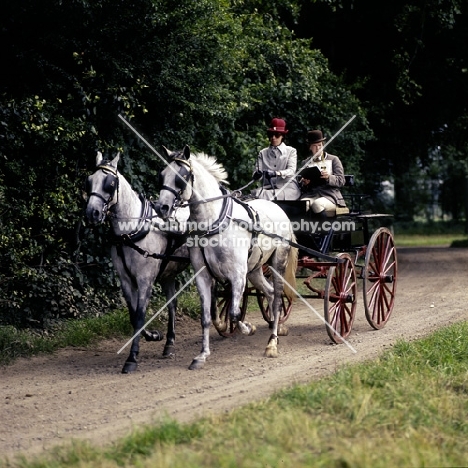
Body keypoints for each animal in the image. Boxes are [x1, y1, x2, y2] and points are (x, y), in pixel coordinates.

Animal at [85, 153, 189, 372]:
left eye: (110, 183)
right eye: (89, 181)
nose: (92, 213)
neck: (130, 231)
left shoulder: (145, 280)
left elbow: (140, 314)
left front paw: (132, 358)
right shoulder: (125, 280)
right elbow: (133, 316)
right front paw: (153, 336)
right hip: (168, 273)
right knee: (172, 303)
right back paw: (169, 344)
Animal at [155, 146, 298, 370]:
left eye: (182, 177)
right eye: (162, 175)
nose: (162, 208)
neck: (212, 223)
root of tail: (278, 208)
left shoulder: (237, 275)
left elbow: (234, 312)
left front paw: (248, 327)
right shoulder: (203, 276)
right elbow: (207, 317)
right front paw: (202, 355)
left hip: (278, 262)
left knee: (276, 299)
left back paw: (272, 343)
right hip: (255, 269)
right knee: (269, 292)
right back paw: (276, 330)